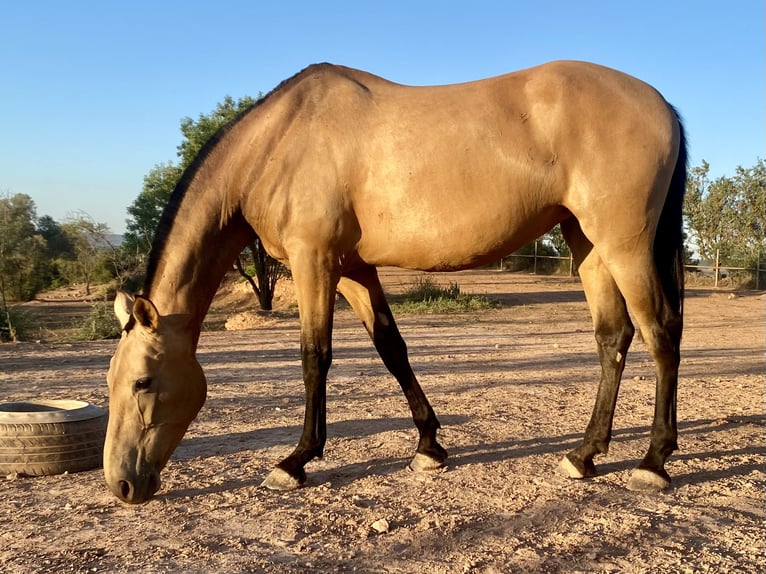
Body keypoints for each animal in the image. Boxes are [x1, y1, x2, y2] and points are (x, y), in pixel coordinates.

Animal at [103, 60, 688, 506]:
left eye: (142, 383)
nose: (122, 484)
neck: (280, 140)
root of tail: (661, 102)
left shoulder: (314, 262)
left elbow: (314, 356)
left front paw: (295, 461)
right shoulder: (354, 269)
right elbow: (392, 348)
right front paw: (429, 447)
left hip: (623, 244)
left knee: (660, 333)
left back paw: (653, 461)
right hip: (586, 241)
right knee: (613, 338)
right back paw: (584, 455)